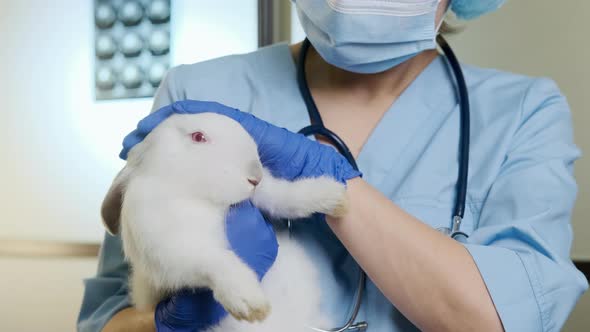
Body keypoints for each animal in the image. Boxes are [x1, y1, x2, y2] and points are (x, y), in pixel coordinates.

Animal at [101, 113, 346, 330]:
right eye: (198, 137)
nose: (256, 176)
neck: (203, 197)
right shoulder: (169, 248)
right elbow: (214, 259)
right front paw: (249, 300)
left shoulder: (265, 195)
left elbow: (285, 197)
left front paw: (334, 196)